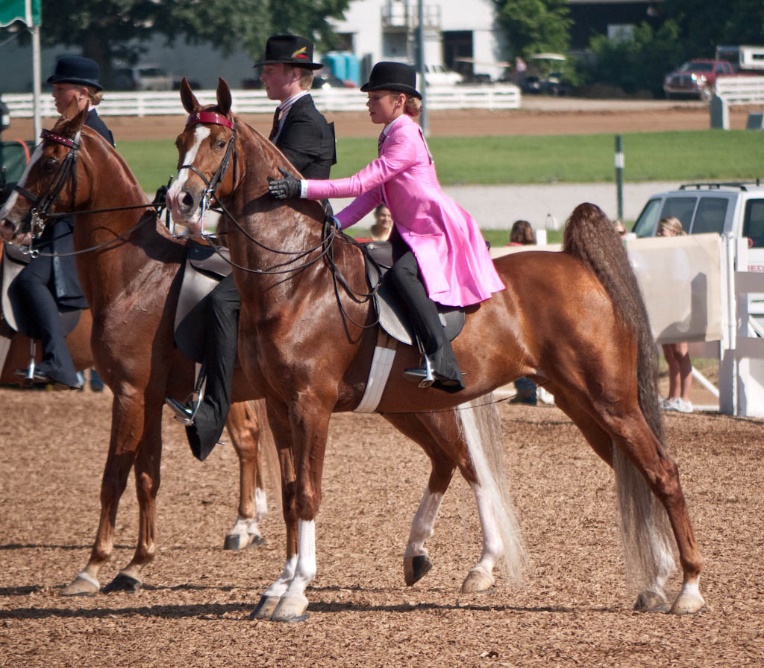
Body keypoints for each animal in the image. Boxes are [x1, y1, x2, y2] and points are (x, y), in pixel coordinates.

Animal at [0, 107, 278, 596]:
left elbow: (113, 477)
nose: (8, 222)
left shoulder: (128, 395)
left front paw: (93, 566)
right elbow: (148, 476)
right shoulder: (148, 399)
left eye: (49, 161)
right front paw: (137, 564)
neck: (137, 274)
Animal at [164, 81, 708, 624]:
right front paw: (279, 585)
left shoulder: (310, 405)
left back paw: (688, 588)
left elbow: (309, 495)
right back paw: (654, 582)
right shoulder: (280, 407)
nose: (180, 201)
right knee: (625, 470)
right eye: (179, 141)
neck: (298, 277)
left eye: (218, 143)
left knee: (661, 471)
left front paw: (297, 592)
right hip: (576, 403)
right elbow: (291, 492)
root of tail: (576, 263)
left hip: (608, 400)